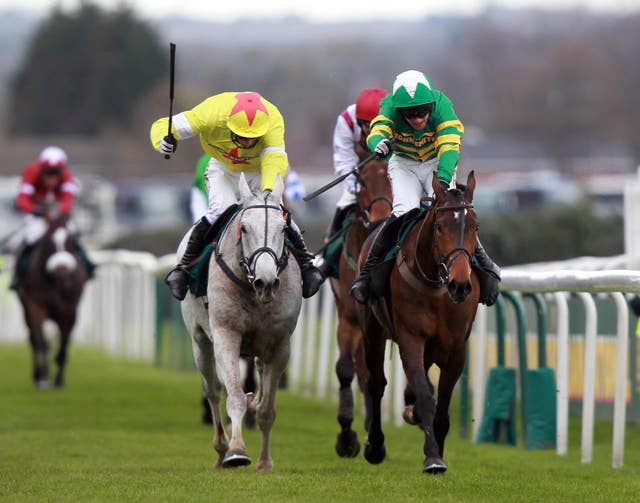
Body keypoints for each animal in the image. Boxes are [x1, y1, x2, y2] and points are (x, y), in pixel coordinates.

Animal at [16, 215, 89, 388]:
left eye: (71, 241)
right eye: (49, 241)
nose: (63, 275)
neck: (56, 283)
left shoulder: (70, 311)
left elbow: (64, 344)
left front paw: (59, 380)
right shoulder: (35, 305)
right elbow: (42, 342)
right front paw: (44, 377)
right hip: (25, 309)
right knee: (33, 340)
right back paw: (37, 375)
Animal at [179, 174, 302, 472]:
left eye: (284, 228)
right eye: (244, 228)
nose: (266, 282)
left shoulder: (280, 345)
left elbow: (268, 409)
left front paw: (265, 462)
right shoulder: (226, 335)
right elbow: (232, 395)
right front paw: (236, 451)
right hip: (200, 340)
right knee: (213, 390)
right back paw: (221, 448)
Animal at [360, 171, 480, 474]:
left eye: (476, 227)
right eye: (439, 227)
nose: (460, 285)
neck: (436, 285)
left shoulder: (456, 349)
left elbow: (441, 406)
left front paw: (438, 447)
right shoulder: (410, 339)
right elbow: (426, 399)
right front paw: (433, 457)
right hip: (372, 330)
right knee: (376, 383)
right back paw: (375, 445)